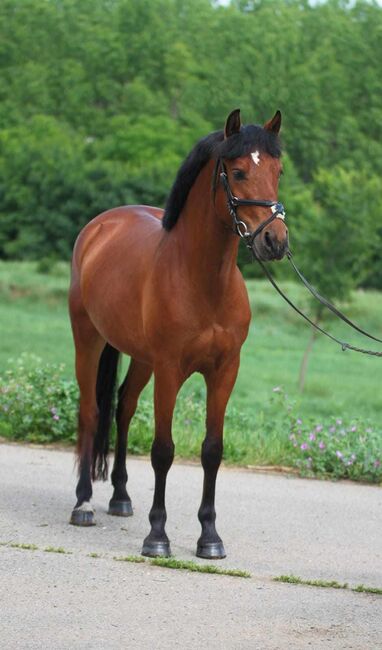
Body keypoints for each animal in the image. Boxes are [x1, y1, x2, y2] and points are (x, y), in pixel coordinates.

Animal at [70, 107, 288, 556]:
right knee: (91, 411)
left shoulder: (224, 371)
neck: (203, 281)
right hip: (88, 339)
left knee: (122, 407)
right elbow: (163, 451)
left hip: (141, 358)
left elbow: (212, 450)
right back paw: (83, 503)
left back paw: (120, 498)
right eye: (238, 172)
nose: (274, 241)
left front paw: (210, 537)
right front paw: (157, 536)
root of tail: (100, 226)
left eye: (278, 171)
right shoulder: (170, 369)